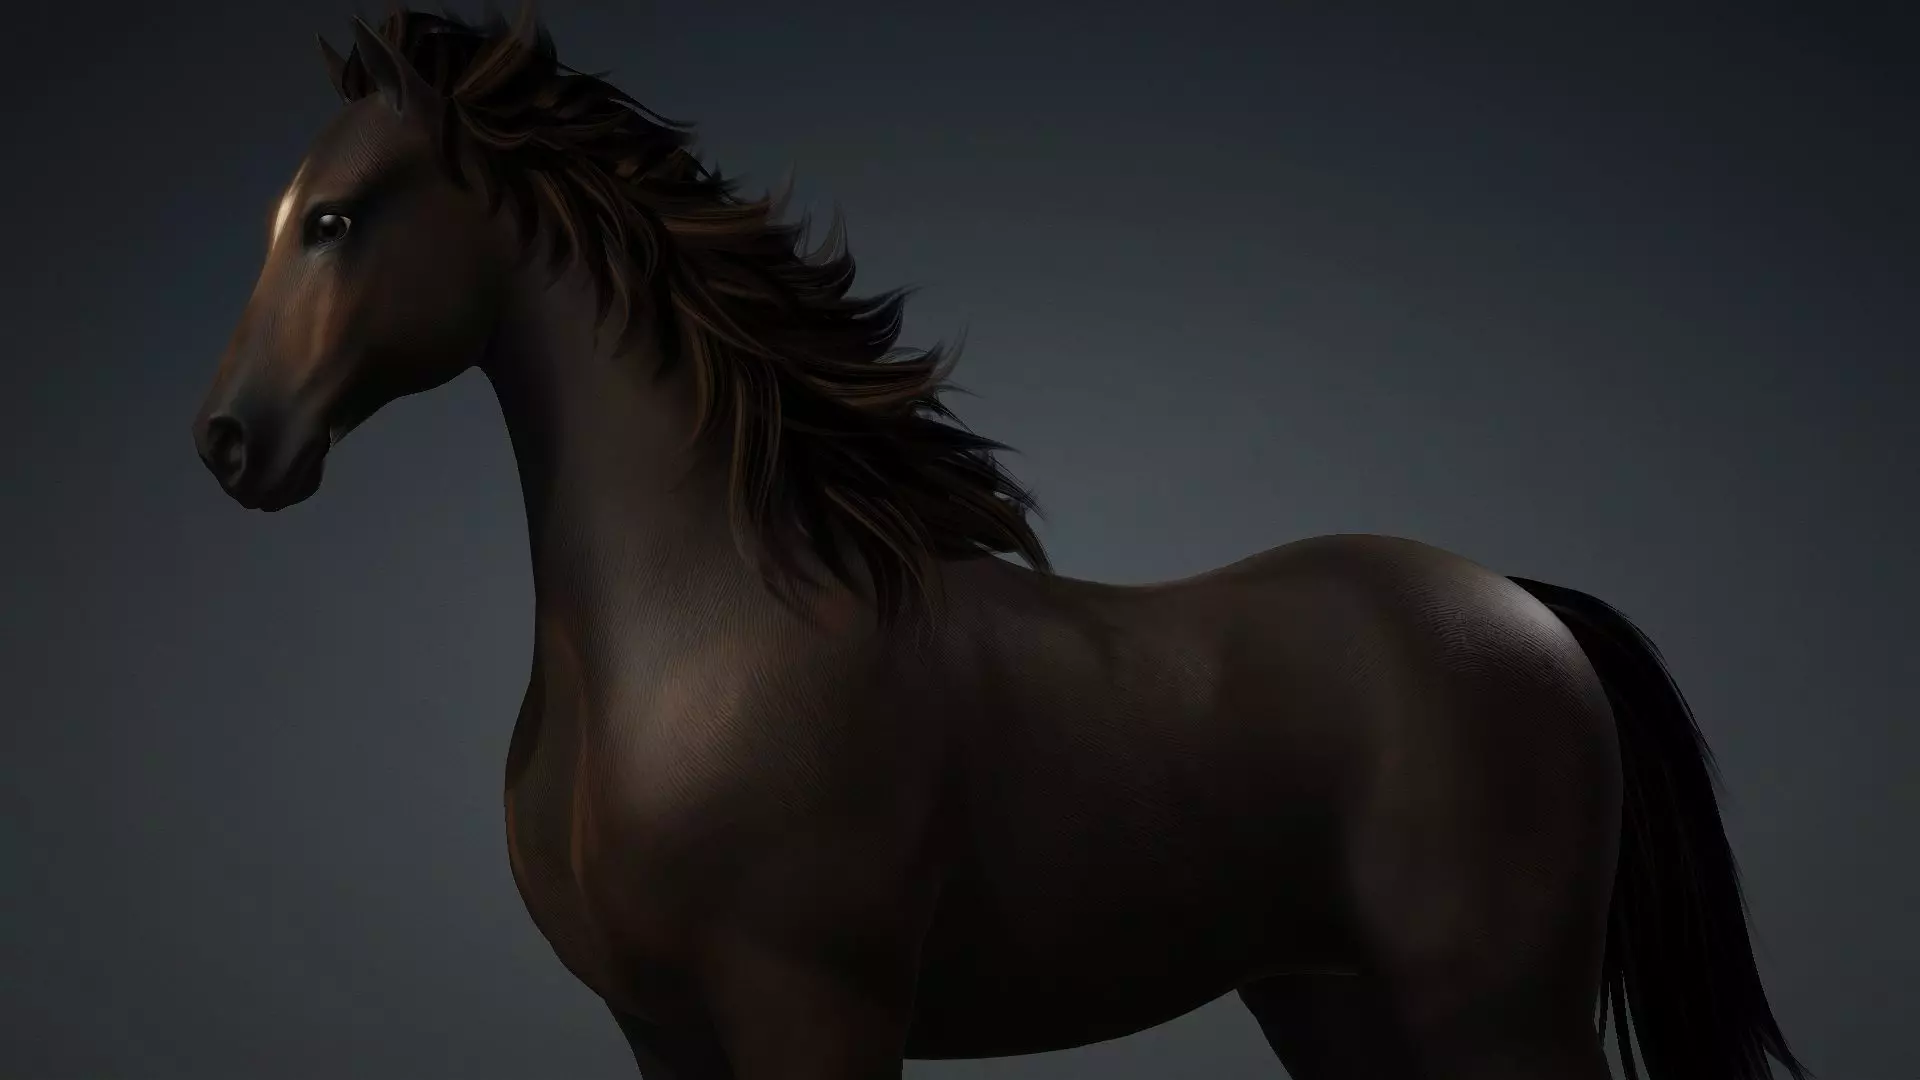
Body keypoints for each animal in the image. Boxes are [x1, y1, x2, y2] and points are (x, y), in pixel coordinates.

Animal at [189, 10, 1808, 1079]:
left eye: (333, 219)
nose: (228, 444)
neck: (709, 630)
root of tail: (1530, 610)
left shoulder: (810, 1014)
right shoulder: (660, 1030)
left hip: (1493, 1010)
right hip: (1332, 1001)